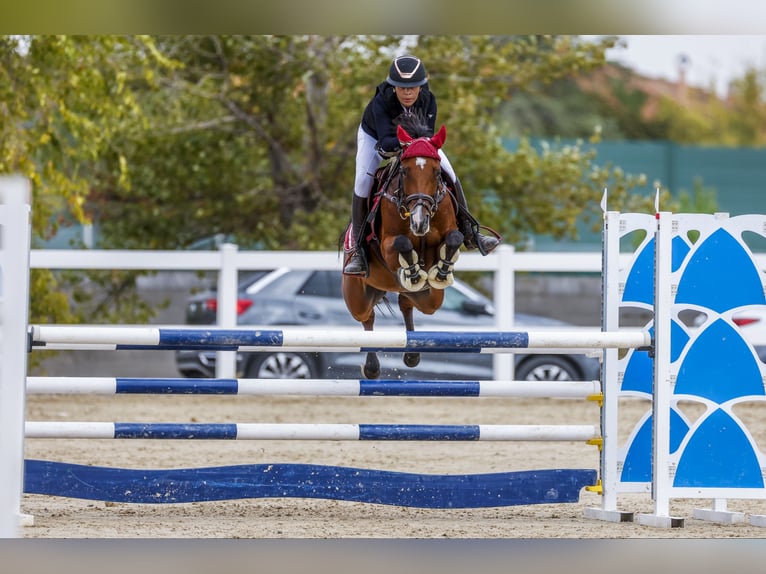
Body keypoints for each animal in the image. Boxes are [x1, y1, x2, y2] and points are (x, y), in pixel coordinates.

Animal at [344, 115, 464, 380]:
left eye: (437, 172)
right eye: (404, 171)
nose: (419, 222)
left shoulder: (447, 233)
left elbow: (455, 238)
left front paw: (440, 271)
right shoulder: (388, 246)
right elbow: (402, 242)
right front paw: (413, 270)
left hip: (431, 299)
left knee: (406, 303)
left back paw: (411, 354)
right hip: (357, 296)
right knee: (367, 317)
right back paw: (371, 367)